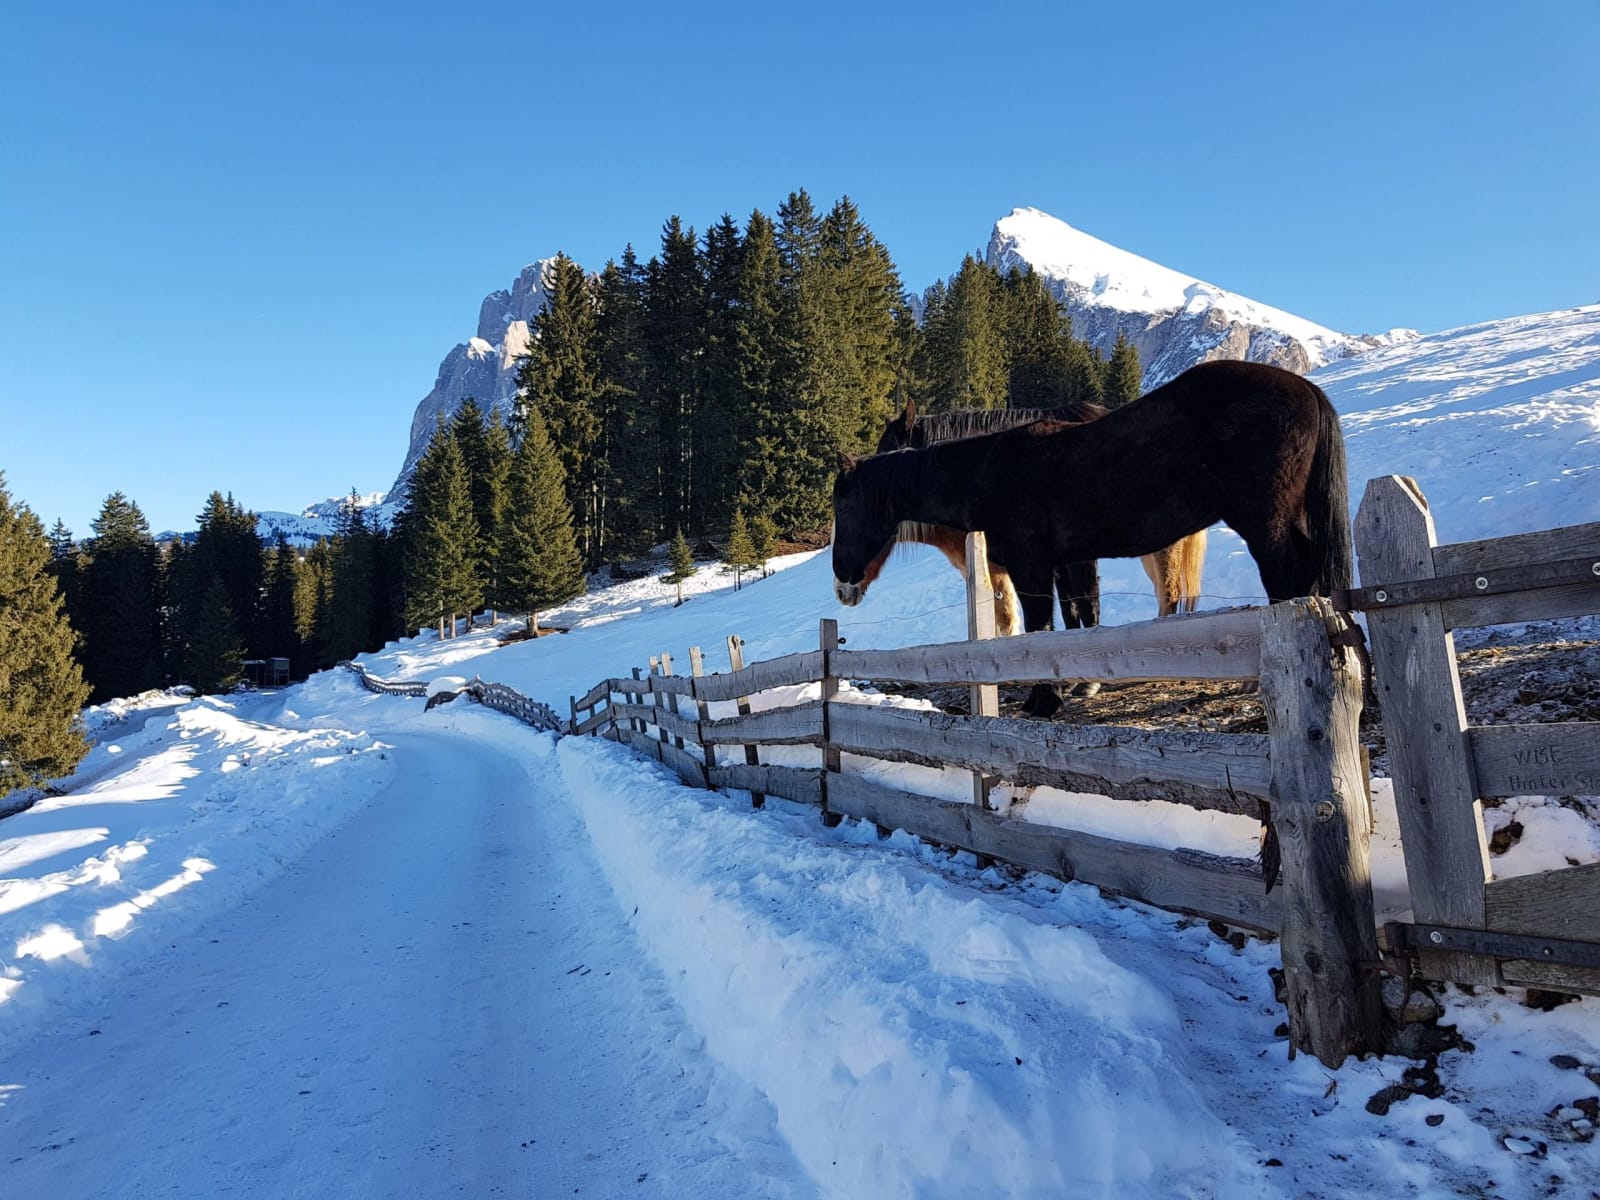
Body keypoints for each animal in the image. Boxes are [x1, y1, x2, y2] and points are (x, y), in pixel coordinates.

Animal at [838, 361, 1350, 672]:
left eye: (845, 507)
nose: (844, 584)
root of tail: (1307, 389)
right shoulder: (1065, 560)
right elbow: (1075, 614)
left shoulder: (1032, 565)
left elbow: (1049, 617)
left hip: (1262, 527)